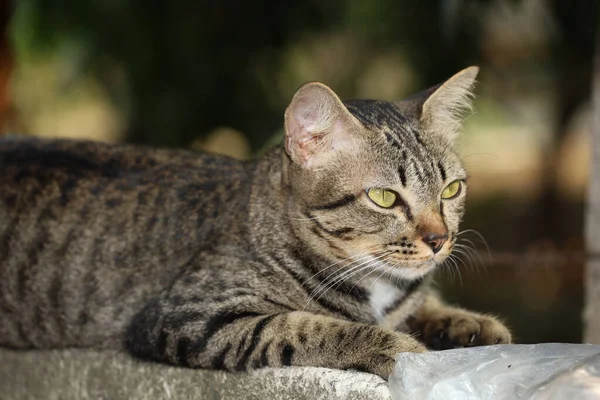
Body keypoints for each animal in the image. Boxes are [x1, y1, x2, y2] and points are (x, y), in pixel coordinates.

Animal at [0, 65, 510, 378]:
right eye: (384, 198)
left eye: (451, 190)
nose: (439, 239)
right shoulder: (188, 316)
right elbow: (309, 326)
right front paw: (401, 349)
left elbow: (424, 305)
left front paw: (469, 323)